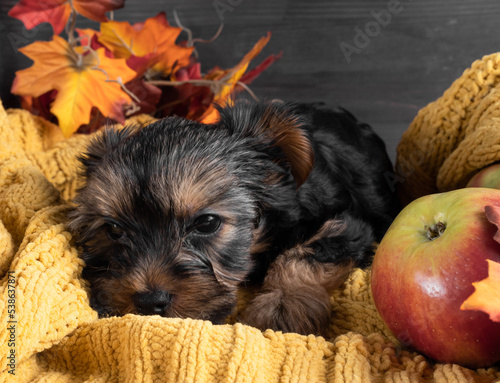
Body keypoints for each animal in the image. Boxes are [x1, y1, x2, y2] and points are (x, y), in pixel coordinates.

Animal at [68, 100, 400, 336]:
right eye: (113, 230)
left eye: (206, 223)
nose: (149, 301)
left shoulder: (348, 225)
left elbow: (303, 256)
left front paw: (283, 303)